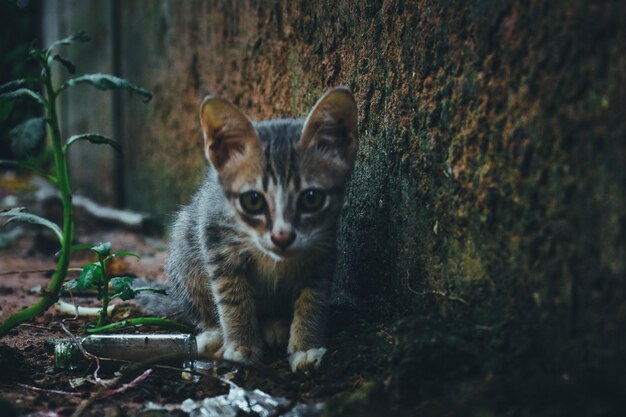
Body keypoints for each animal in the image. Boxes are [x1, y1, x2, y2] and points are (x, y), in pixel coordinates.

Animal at [163, 87, 356, 370]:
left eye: (312, 198)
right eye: (253, 200)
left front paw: (305, 346)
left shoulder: (322, 249)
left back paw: (275, 325)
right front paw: (241, 345)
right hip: (184, 244)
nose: (282, 237)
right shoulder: (215, 238)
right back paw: (214, 335)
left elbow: (313, 299)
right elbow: (232, 297)